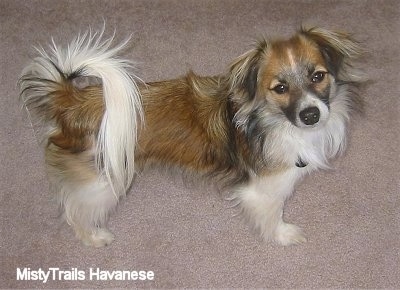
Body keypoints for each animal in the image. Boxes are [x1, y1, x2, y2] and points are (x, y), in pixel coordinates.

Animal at [18, 26, 362, 247]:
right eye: (280, 88)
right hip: (103, 182)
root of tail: (72, 101)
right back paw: (94, 237)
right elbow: (273, 215)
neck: (269, 119)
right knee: (74, 210)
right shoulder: (264, 190)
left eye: (318, 76)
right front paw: (283, 236)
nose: (311, 115)